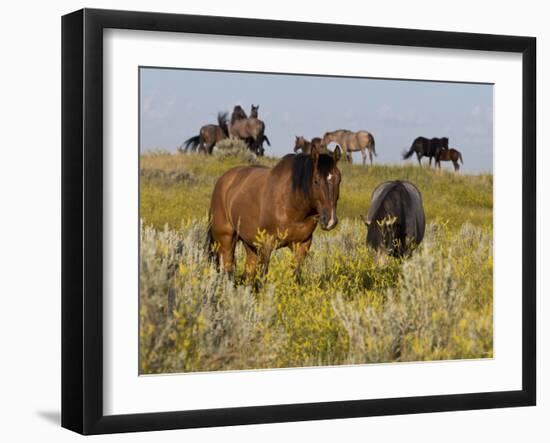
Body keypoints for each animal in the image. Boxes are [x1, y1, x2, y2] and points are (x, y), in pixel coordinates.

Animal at [208, 144, 342, 280]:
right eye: (316, 181)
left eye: (339, 180)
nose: (330, 220)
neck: (291, 204)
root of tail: (223, 181)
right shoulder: (266, 245)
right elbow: (262, 276)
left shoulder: (302, 244)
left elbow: (295, 275)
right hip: (225, 240)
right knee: (228, 270)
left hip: (250, 245)